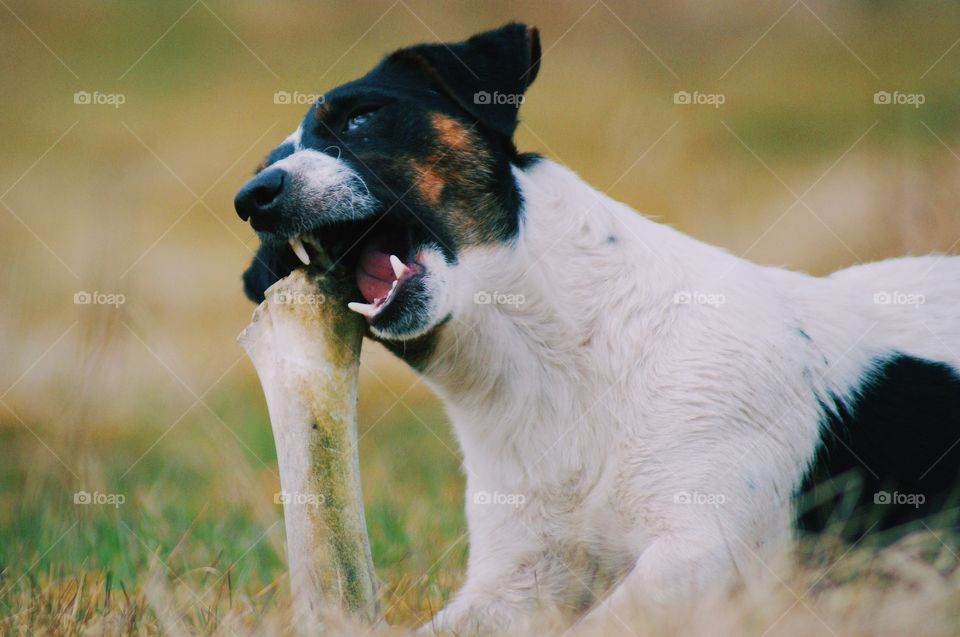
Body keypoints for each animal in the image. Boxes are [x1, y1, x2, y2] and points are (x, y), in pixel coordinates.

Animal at [236, 22, 960, 632]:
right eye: (260, 171)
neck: (554, 367)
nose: (254, 198)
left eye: (360, 117)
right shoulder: (516, 578)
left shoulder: (704, 551)